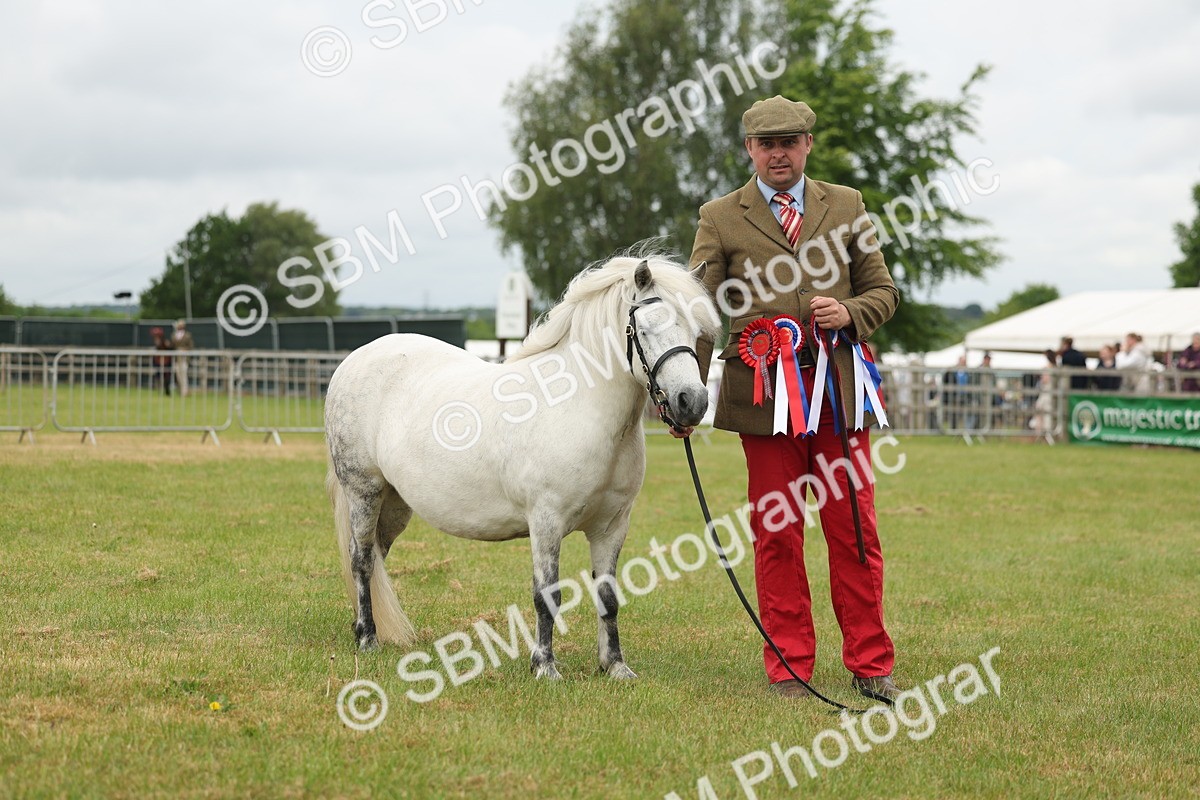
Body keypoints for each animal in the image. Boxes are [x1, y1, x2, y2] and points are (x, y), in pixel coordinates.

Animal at [324, 254, 720, 679]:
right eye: (645, 329)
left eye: (697, 331)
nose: (692, 403)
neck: (580, 408)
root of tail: (355, 359)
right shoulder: (546, 521)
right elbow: (547, 595)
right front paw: (545, 667)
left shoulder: (612, 526)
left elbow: (608, 595)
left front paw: (614, 666)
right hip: (364, 491)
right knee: (362, 560)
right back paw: (368, 639)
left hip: (396, 502)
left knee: (376, 555)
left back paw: (364, 627)